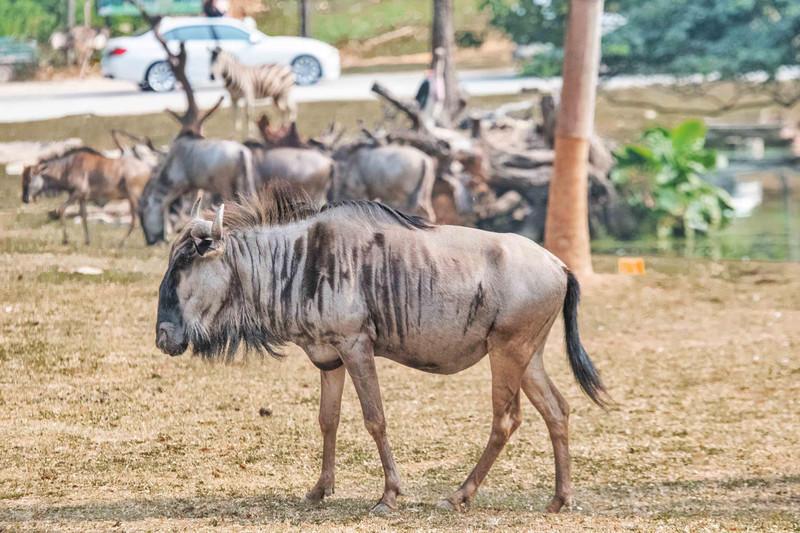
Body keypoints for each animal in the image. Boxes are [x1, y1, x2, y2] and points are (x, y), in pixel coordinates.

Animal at [21, 147, 152, 244]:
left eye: (30, 179)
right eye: (23, 179)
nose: (25, 199)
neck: (67, 167)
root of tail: (147, 170)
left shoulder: (77, 193)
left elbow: (61, 209)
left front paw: (65, 240)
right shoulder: (82, 198)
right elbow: (83, 215)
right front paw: (87, 241)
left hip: (134, 198)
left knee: (135, 221)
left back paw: (121, 243)